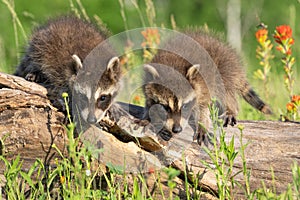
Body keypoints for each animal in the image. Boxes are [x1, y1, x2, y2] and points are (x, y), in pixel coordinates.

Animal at [143, 28, 272, 144]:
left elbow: (204, 107)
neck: (173, 66)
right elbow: (150, 104)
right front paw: (153, 119)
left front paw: (202, 124)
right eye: (165, 107)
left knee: (226, 90)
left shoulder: (203, 84)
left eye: (185, 106)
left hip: (224, 68)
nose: (177, 129)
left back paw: (231, 109)